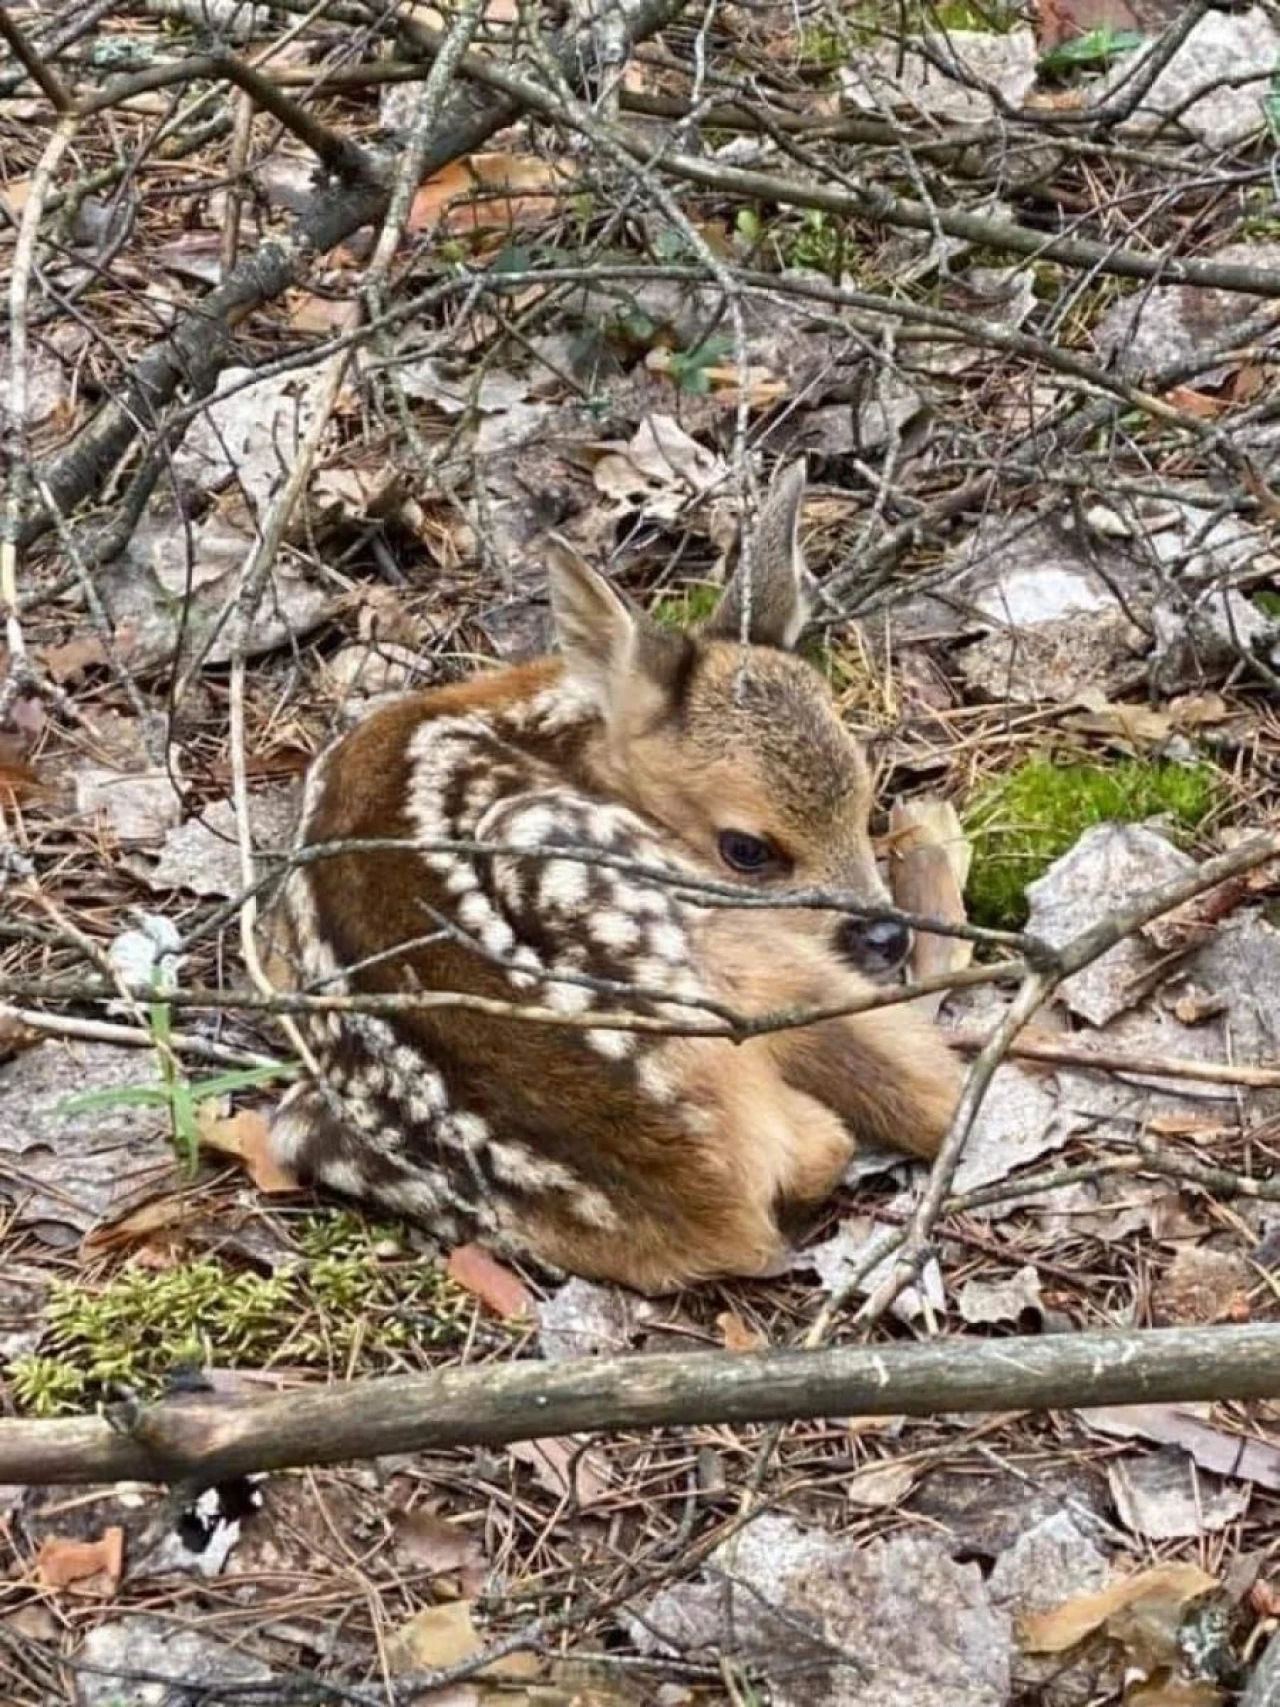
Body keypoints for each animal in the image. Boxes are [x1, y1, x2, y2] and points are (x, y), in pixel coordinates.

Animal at [266, 467, 955, 1290]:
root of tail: (711, 1198)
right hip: (579, 857)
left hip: (304, 1122)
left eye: (866, 793)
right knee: (868, 1119)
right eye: (747, 848)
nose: (886, 936)